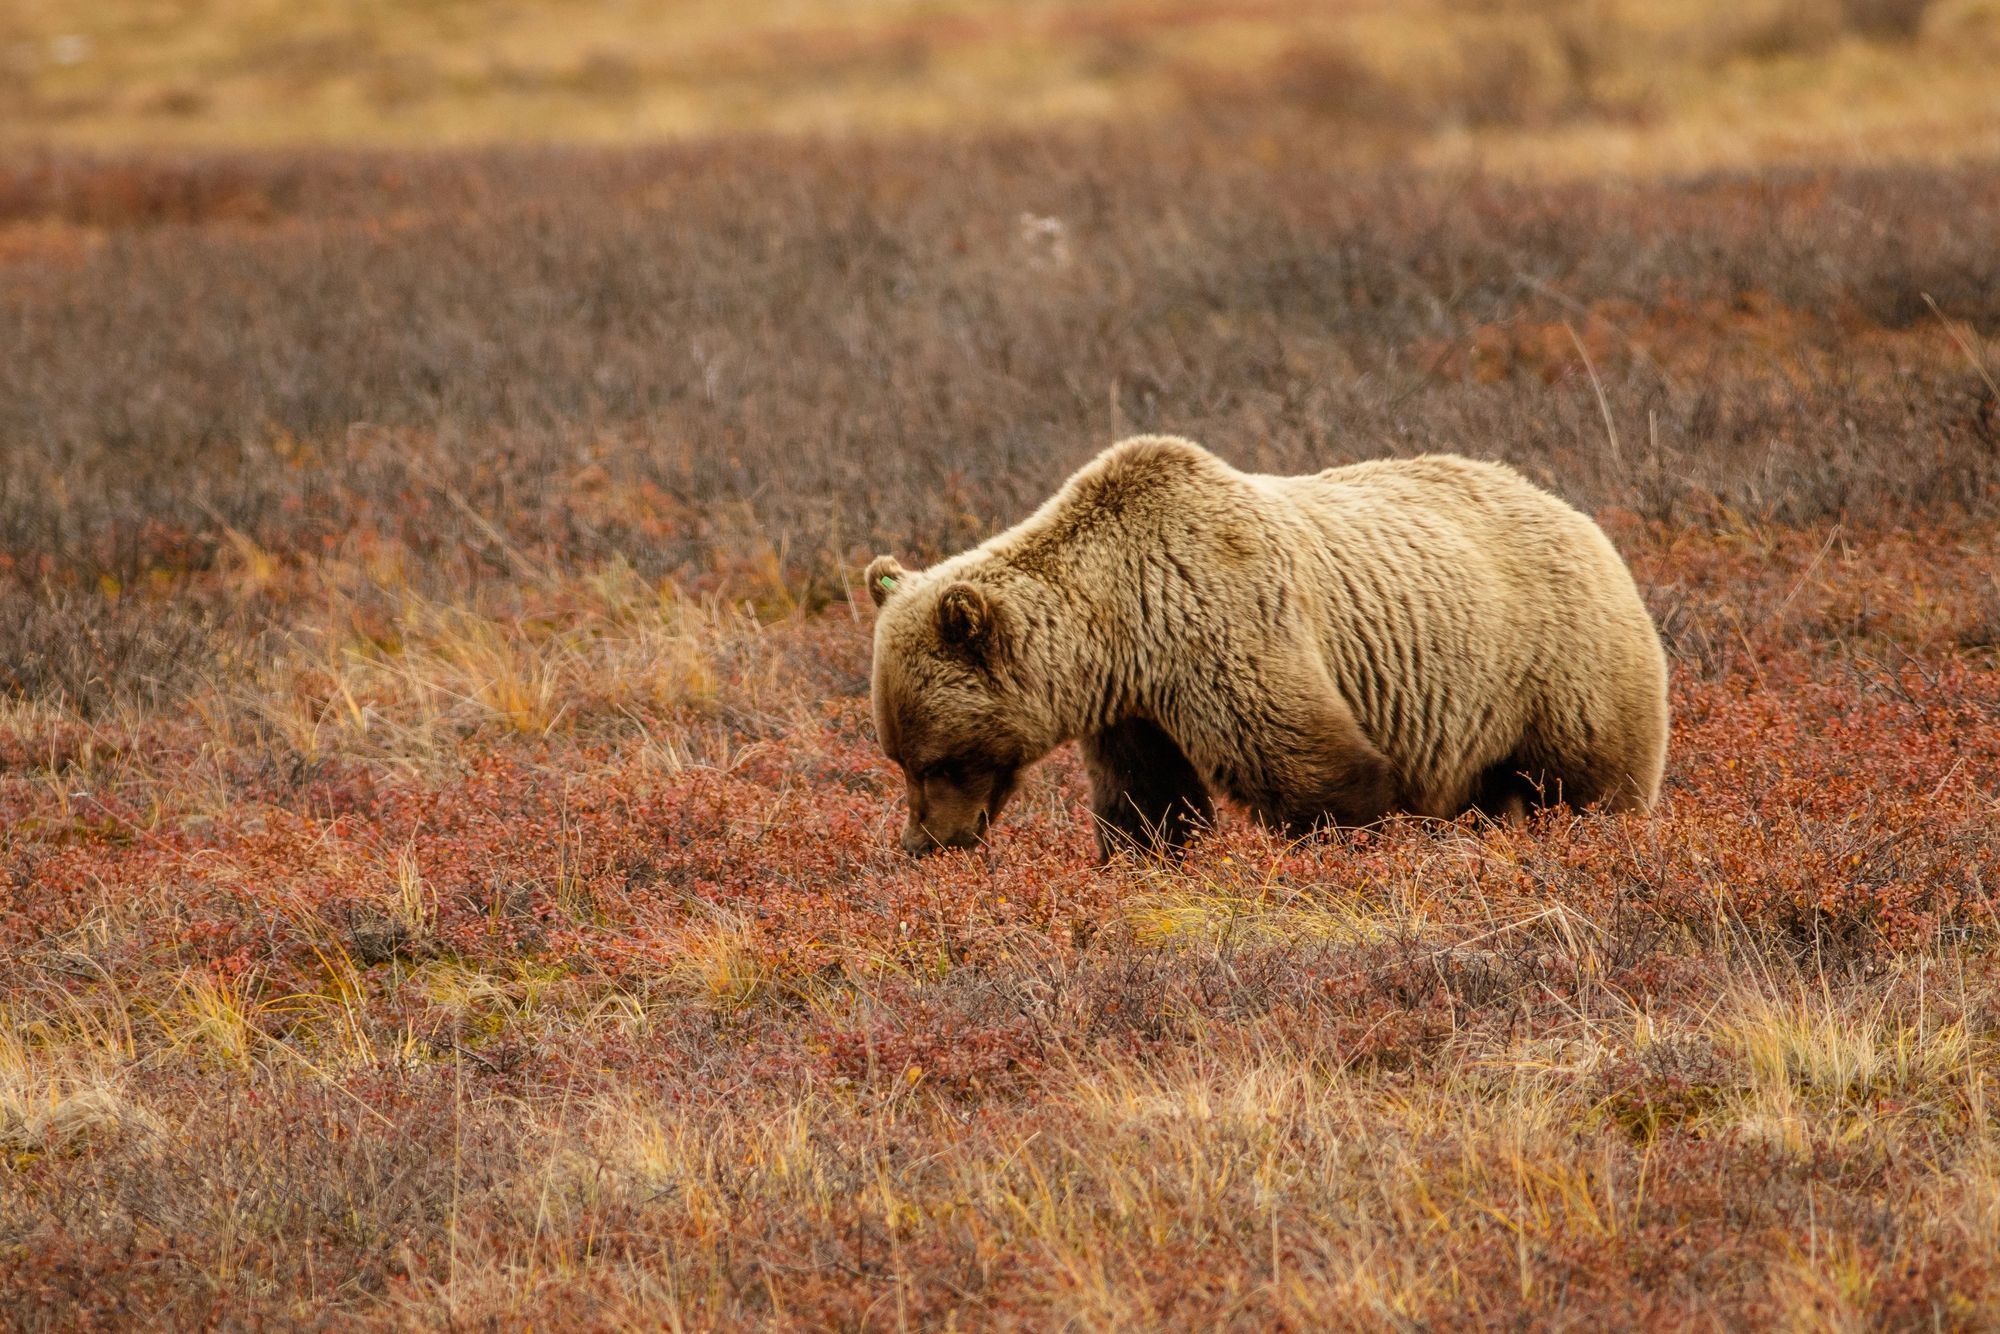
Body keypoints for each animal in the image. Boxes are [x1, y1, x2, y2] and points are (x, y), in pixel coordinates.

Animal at [865, 435, 1669, 860]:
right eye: (899, 757)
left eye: (940, 759)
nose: (926, 842)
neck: (1123, 632)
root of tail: (1584, 519)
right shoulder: (1133, 712)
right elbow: (1147, 801)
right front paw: (1148, 857)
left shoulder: (1224, 622)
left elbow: (1312, 768)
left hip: (1559, 669)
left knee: (1592, 785)